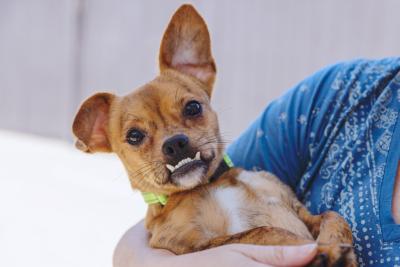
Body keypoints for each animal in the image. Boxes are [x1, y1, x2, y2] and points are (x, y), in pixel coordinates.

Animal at [73, 4, 358, 267]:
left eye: (193, 108)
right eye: (134, 136)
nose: (175, 144)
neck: (210, 185)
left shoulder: (301, 212)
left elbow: (333, 216)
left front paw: (337, 247)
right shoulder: (192, 245)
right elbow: (263, 231)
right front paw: (318, 251)